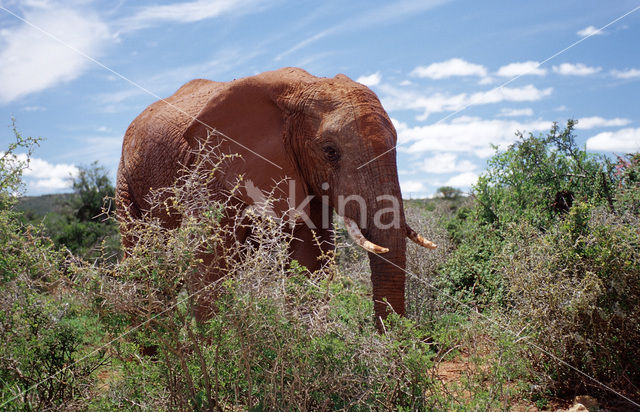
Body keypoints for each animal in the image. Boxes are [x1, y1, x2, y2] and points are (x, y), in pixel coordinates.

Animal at [114, 67, 436, 328]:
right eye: (330, 152)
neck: (303, 88)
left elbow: (310, 259)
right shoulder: (211, 169)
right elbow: (208, 263)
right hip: (125, 180)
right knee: (144, 265)